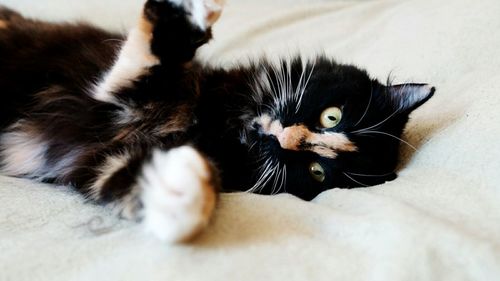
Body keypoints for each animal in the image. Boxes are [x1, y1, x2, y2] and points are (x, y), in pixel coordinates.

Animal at [0, 0, 434, 241]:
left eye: (316, 171)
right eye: (332, 116)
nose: (284, 138)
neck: (222, 128)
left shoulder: (94, 162)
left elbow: (130, 178)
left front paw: (184, 195)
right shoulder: (122, 92)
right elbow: (151, 58)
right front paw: (185, 17)